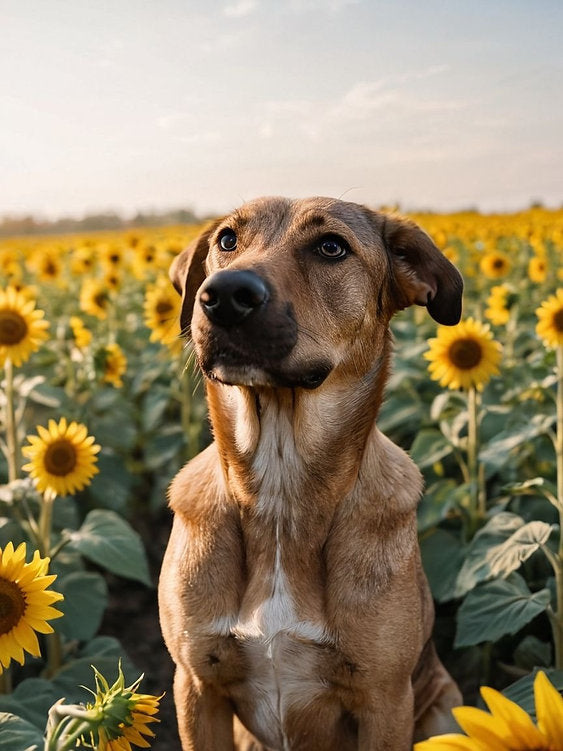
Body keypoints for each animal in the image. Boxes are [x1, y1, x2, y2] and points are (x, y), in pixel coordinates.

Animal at [159, 197, 462, 748]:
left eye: (331, 247)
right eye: (227, 239)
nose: (224, 296)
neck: (281, 491)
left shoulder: (386, 702)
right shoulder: (197, 686)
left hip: (444, 709)